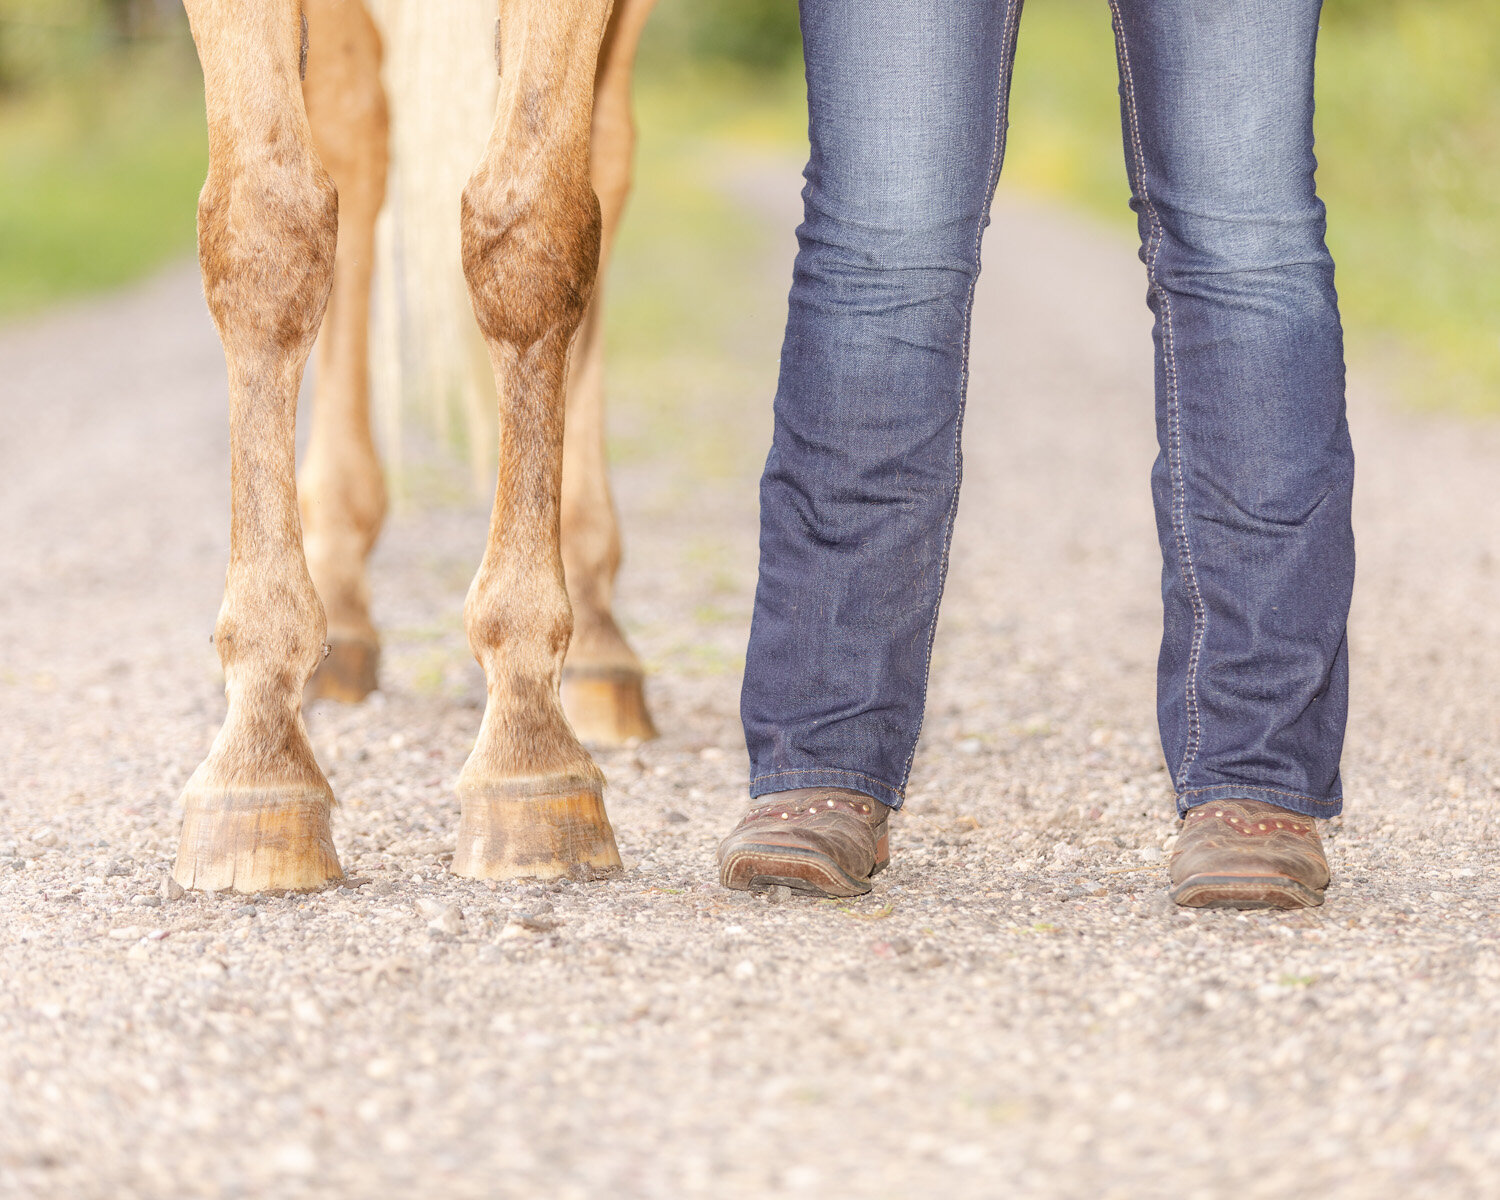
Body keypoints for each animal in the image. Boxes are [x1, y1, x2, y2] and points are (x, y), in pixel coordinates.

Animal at [171, 0, 657, 888]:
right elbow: (267, 227)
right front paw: (259, 758)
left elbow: (532, 221)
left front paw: (527, 748)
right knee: (354, 150)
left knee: (606, 154)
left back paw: (597, 630)